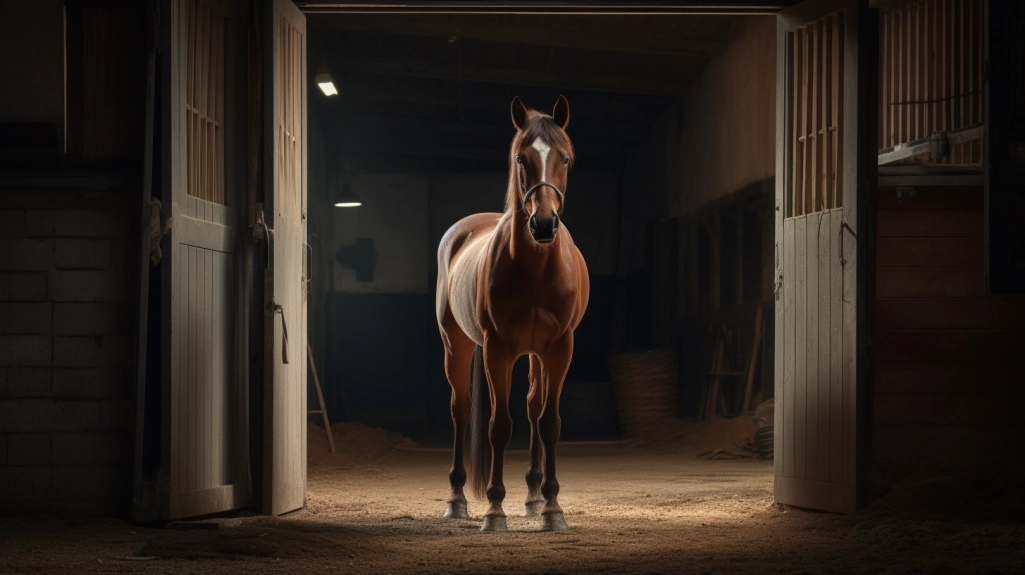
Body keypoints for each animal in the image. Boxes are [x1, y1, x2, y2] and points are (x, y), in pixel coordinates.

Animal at [435, 95, 589, 532]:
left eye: (565, 158)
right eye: (522, 158)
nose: (543, 224)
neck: (535, 266)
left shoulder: (560, 347)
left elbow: (549, 422)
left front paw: (552, 508)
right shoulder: (497, 348)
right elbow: (498, 426)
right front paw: (494, 509)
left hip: (536, 355)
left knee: (535, 408)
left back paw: (535, 496)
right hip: (457, 345)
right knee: (461, 409)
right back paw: (457, 499)